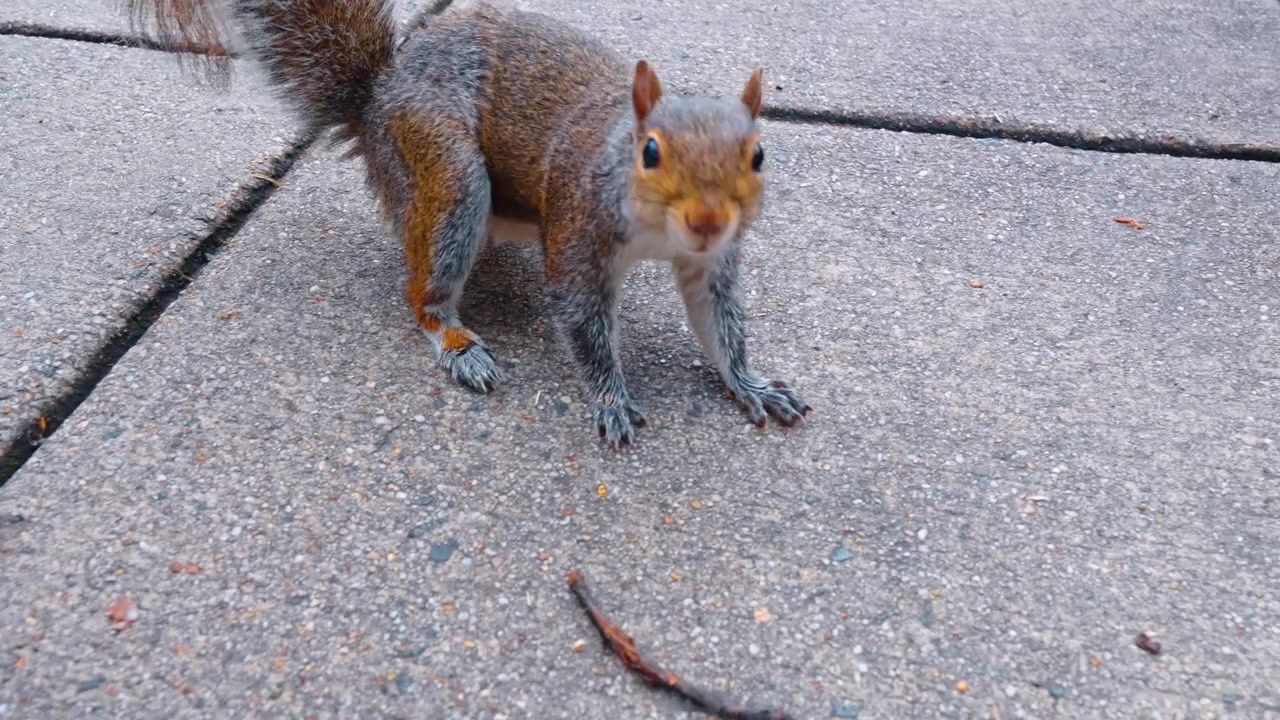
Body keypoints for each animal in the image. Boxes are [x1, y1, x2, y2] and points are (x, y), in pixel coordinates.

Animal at [123, 0, 811, 448]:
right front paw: (612, 399)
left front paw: (751, 385)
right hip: (448, 174)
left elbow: (720, 323)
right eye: (649, 151)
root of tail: (376, 105)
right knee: (423, 291)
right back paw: (457, 344)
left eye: (759, 155)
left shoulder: (711, 263)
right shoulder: (576, 231)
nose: (707, 219)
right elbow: (583, 323)